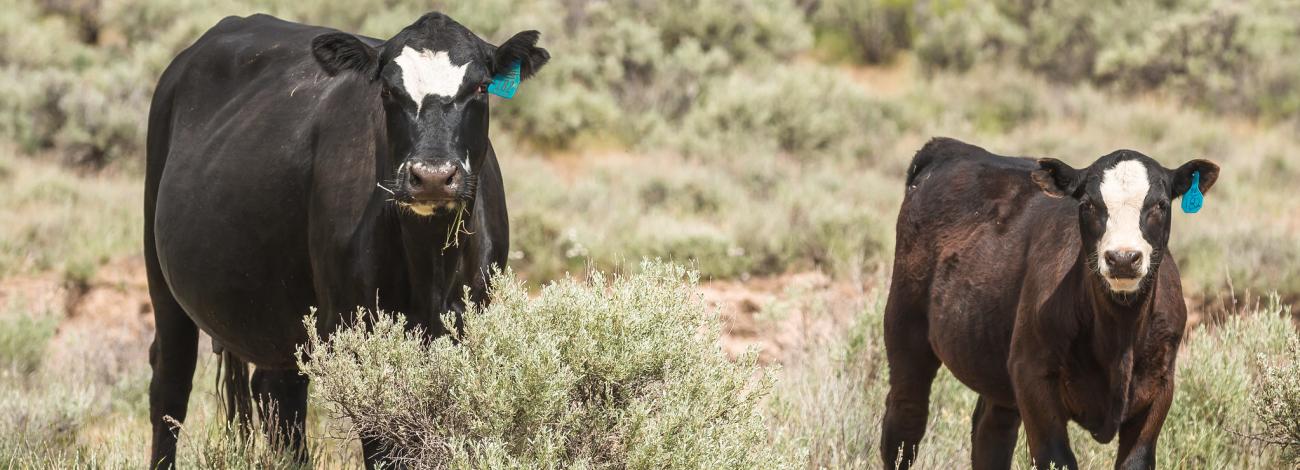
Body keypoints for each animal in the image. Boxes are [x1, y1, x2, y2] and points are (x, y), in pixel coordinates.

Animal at [144, 13, 548, 468]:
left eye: (480, 87)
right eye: (388, 91)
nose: (432, 176)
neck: (429, 266)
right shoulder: (359, 336)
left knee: (279, 395)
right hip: (162, 277)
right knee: (170, 387)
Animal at [880, 138, 1219, 469]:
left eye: (1160, 204)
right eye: (1088, 204)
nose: (1123, 258)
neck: (1118, 336)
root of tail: (948, 147)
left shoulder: (1160, 386)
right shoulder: (1033, 376)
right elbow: (1057, 459)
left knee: (991, 433)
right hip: (905, 328)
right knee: (904, 425)